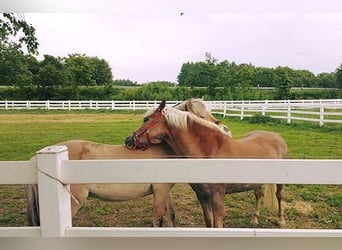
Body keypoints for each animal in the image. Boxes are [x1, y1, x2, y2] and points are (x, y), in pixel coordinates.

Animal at [25, 98, 231, 228]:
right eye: (201, 117)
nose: (226, 131)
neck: (163, 149)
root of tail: (35, 159)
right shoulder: (160, 191)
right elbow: (158, 220)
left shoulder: (164, 191)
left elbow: (171, 216)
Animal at [125, 100, 288, 228]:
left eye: (146, 119)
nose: (128, 140)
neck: (209, 152)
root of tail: (277, 136)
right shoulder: (202, 196)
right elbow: (209, 222)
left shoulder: (218, 197)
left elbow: (217, 225)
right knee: (258, 195)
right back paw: (254, 219)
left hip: (279, 182)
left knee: (279, 195)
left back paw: (281, 220)